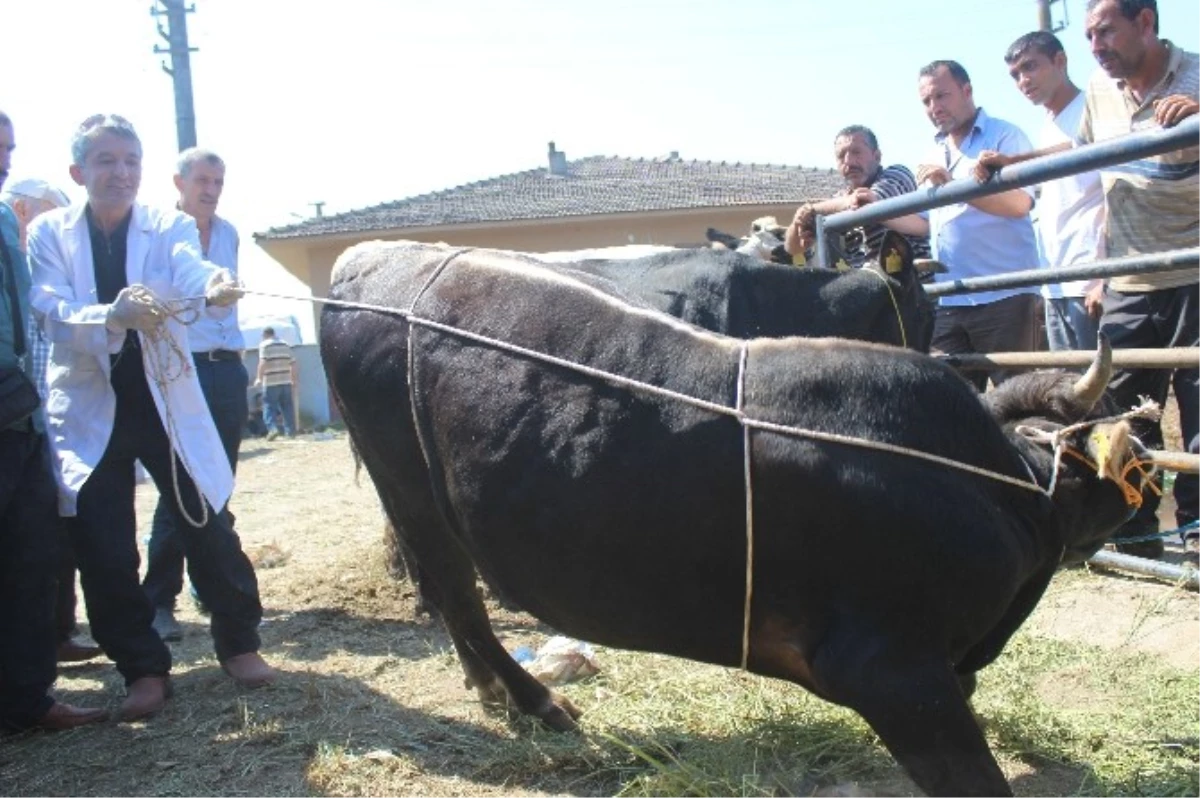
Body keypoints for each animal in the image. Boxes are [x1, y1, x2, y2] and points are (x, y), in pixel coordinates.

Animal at [324, 242, 1147, 796]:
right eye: (1134, 463)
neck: (996, 491)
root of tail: (368, 260)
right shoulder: (893, 673)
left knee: (454, 599)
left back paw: (494, 692)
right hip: (411, 493)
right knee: (457, 596)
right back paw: (536, 701)